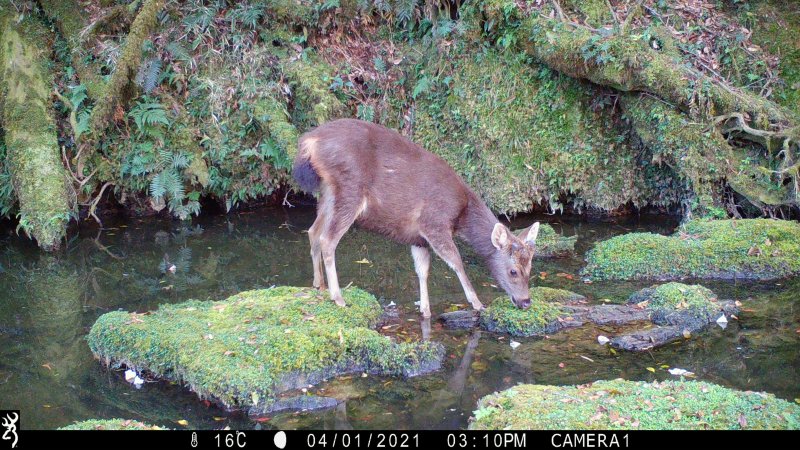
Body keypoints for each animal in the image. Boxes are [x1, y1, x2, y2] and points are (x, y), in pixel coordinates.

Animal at [290, 118, 540, 316]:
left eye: (530, 268)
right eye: (513, 271)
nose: (526, 302)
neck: (462, 214)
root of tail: (309, 141)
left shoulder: (418, 238)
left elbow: (422, 271)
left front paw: (425, 310)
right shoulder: (434, 223)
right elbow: (456, 261)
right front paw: (477, 303)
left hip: (328, 192)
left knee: (313, 231)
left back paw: (319, 285)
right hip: (349, 188)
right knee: (327, 239)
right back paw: (338, 297)